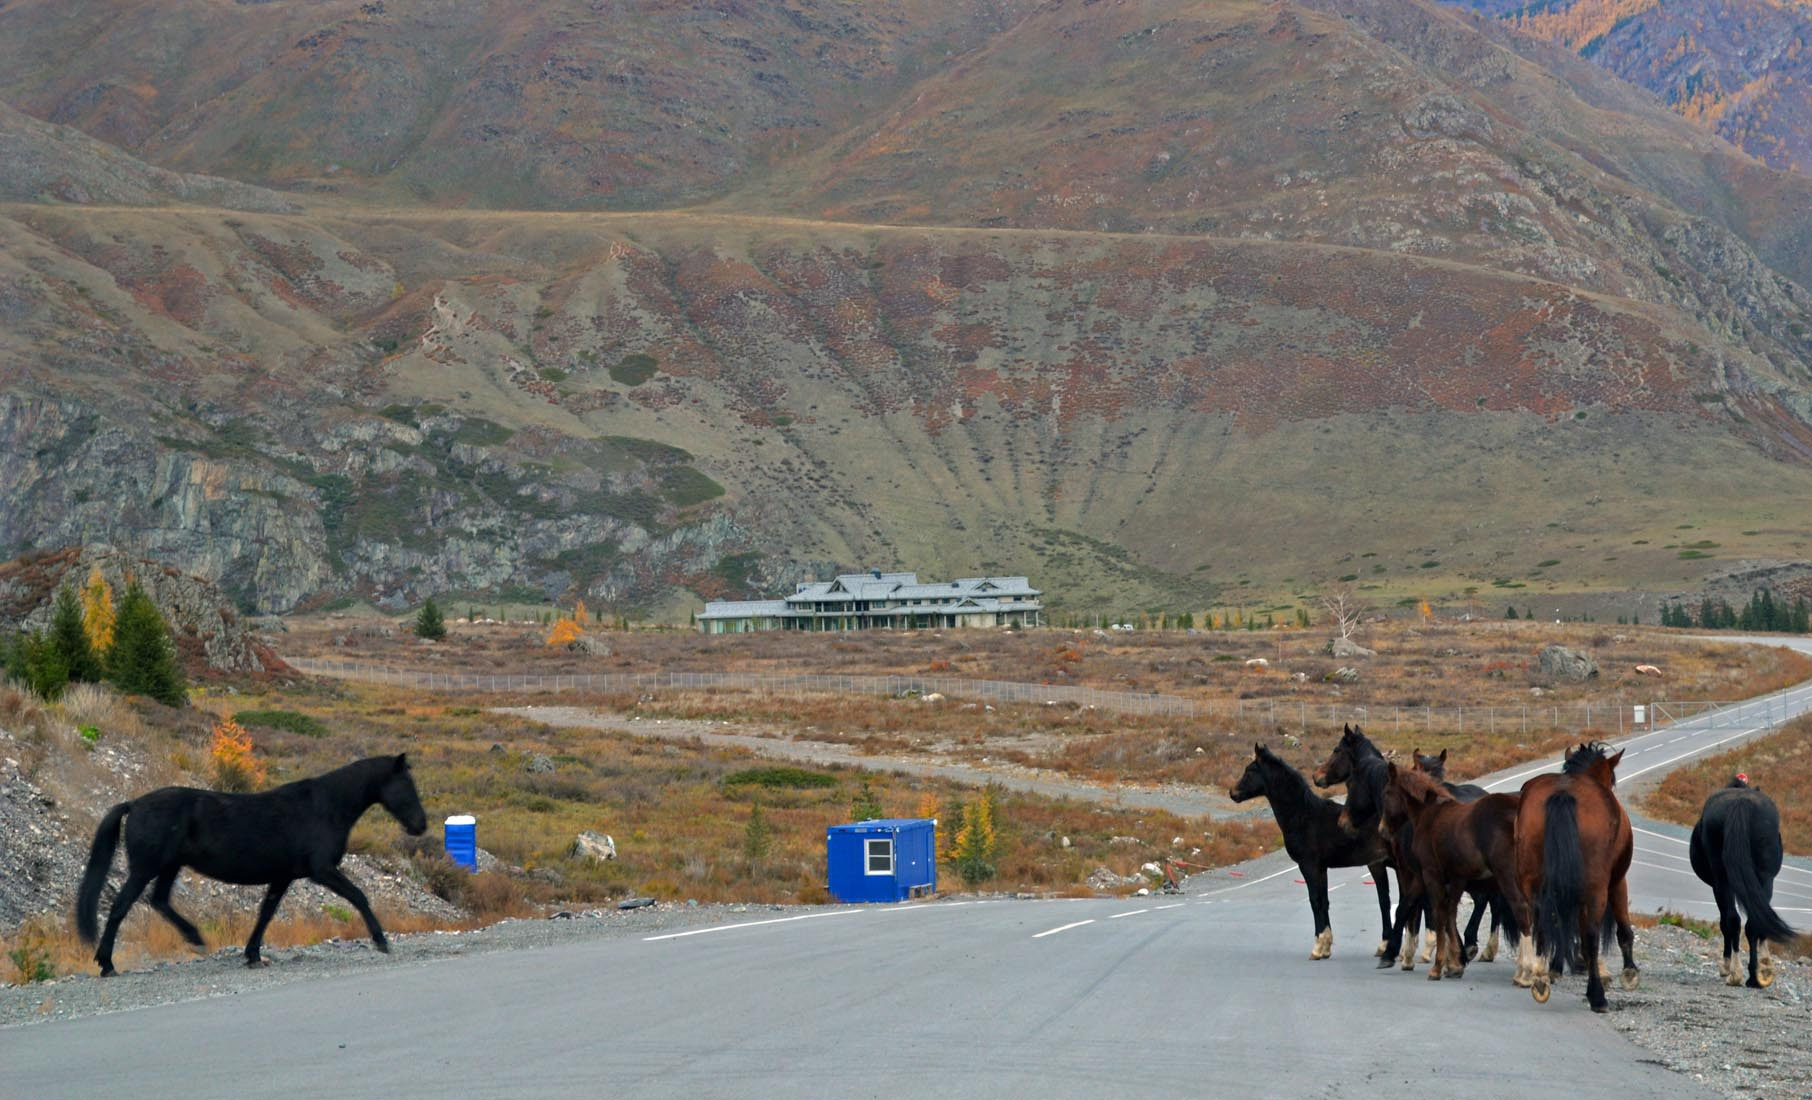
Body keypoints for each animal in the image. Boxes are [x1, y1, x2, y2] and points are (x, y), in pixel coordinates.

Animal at [75, 753, 427, 978]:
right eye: (407, 786)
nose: (420, 826)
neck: (325, 807)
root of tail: (133, 804)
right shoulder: (322, 871)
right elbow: (358, 896)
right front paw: (381, 941)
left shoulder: (283, 876)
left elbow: (265, 913)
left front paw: (253, 954)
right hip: (145, 868)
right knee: (121, 907)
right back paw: (107, 964)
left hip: (170, 866)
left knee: (159, 901)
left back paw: (195, 938)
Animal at [1224, 742, 1391, 956]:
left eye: (1249, 771)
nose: (1232, 792)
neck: (1302, 816)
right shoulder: (1321, 868)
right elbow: (1324, 902)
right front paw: (1326, 947)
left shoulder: (1308, 865)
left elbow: (1315, 900)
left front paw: (1318, 948)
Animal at [1384, 764, 1529, 978]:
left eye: (1386, 793)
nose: (1383, 829)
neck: (1427, 816)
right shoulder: (1447, 877)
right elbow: (1445, 912)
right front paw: (1454, 962)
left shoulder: (1429, 873)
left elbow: (1434, 912)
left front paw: (1439, 964)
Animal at [1507, 739, 1638, 1014]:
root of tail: (1563, 794)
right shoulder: (1617, 881)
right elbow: (1622, 925)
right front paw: (1630, 973)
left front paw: (1555, 967)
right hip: (1596, 888)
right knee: (1590, 935)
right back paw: (1597, 996)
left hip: (1532, 881)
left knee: (1542, 922)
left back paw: (1540, 978)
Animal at [1681, 775, 1797, 993]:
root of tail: (1742, 803)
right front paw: (1764, 968)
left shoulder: (1718, 886)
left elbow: (1724, 922)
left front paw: (1726, 966)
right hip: (1764, 877)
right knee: (1754, 921)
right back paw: (1755, 976)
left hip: (1722, 880)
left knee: (1733, 920)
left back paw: (1736, 973)